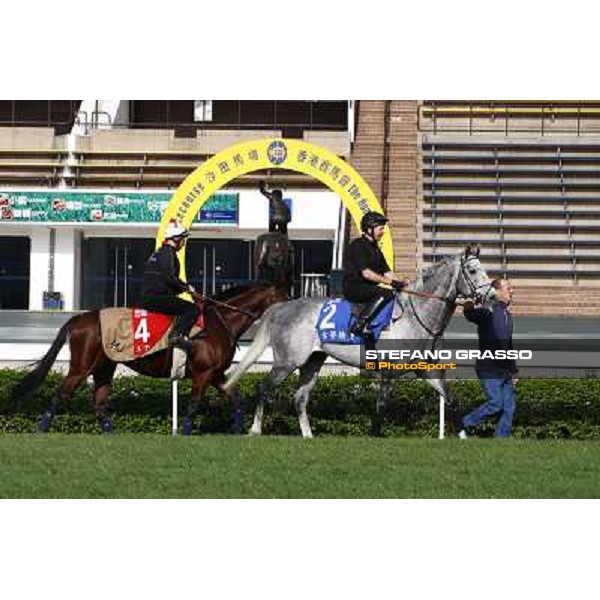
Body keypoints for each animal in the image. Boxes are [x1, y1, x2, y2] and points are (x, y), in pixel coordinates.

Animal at [12, 284, 288, 434]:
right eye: (286, 296)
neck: (220, 321)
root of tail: (80, 318)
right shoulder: (203, 373)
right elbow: (194, 405)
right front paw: (184, 432)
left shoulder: (216, 374)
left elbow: (236, 399)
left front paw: (238, 429)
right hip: (81, 367)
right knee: (60, 395)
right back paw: (41, 431)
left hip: (104, 368)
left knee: (99, 405)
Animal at [223, 246, 494, 438]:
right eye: (472, 271)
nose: (491, 295)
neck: (416, 315)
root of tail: (282, 307)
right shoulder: (388, 373)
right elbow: (382, 406)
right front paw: (373, 435)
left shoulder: (428, 371)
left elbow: (452, 400)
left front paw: (464, 436)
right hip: (287, 362)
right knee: (263, 388)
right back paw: (255, 430)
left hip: (312, 362)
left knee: (299, 397)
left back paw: (308, 435)